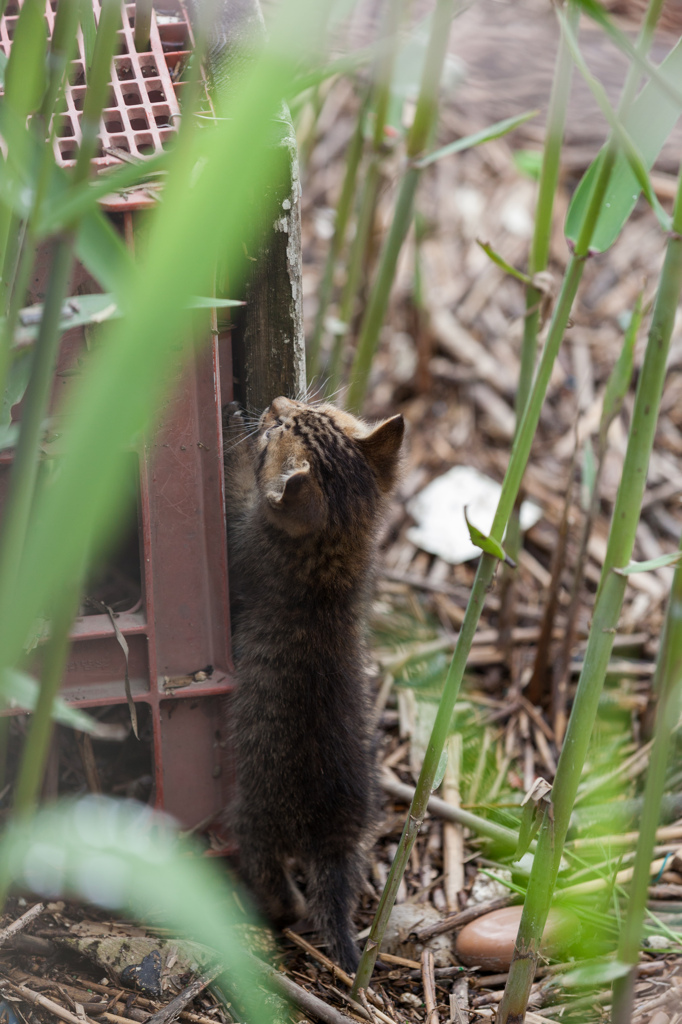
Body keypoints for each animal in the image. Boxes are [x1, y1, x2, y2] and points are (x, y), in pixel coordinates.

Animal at [223, 395, 403, 970]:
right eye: (313, 406)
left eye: (277, 431)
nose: (276, 402)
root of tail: (327, 835)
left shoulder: (249, 546)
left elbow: (242, 496)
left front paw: (233, 442)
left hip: (253, 814)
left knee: (278, 883)